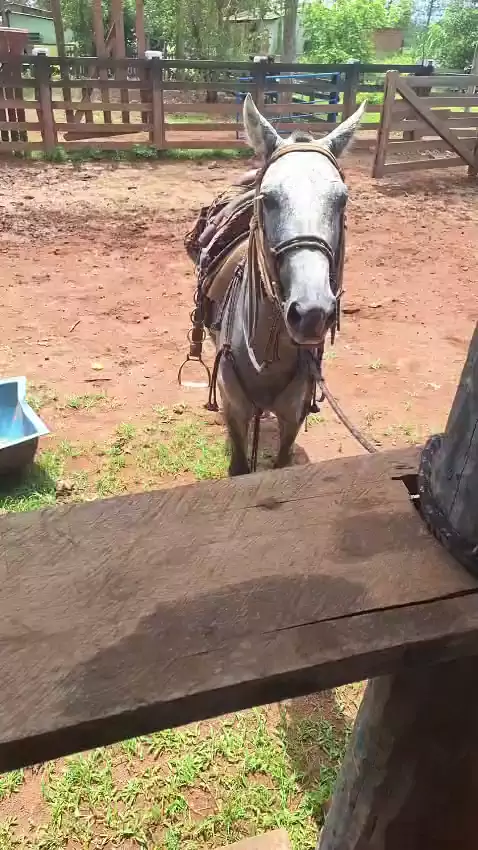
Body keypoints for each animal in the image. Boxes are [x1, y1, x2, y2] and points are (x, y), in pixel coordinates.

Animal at [198, 94, 365, 476]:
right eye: (269, 198)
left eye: (342, 200)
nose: (312, 312)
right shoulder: (234, 410)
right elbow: (239, 466)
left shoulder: (293, 417)